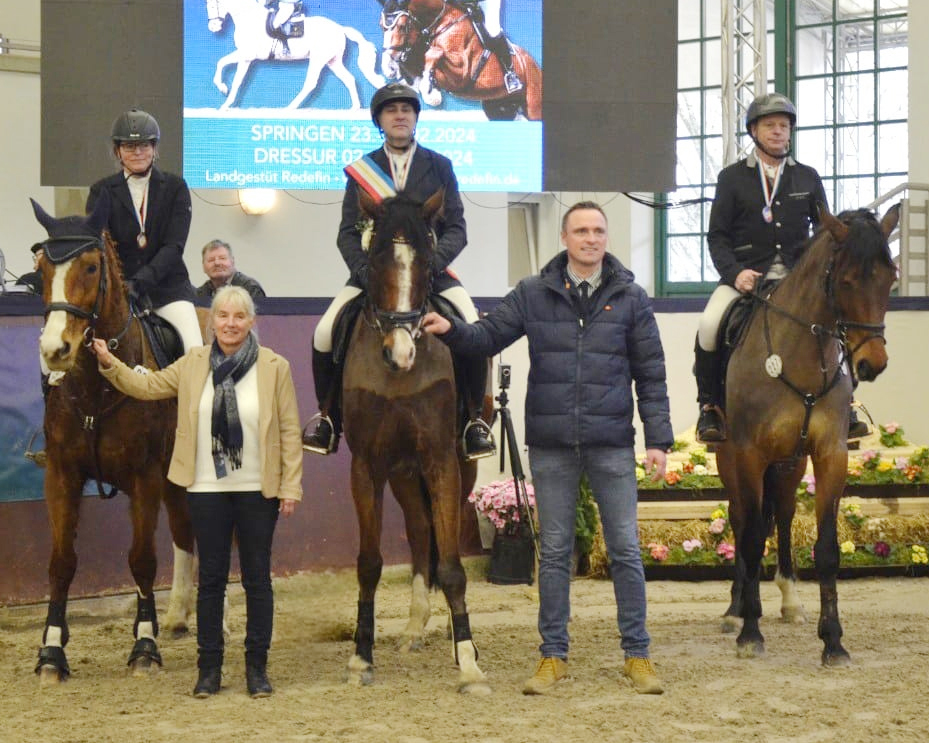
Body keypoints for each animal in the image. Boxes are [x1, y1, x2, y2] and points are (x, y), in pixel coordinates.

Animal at [29, 196, 196, 684]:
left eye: (89, 267)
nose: (55, 350)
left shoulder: (144, 478)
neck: (94, 386)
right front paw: (51, 651)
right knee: (184, 532)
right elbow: (61, 562)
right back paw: (175, 617)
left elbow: (141, 559)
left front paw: (144, 646)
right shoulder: (62, 475)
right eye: (42, 268)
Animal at [206, 0, 384, 110]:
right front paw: (225, 99)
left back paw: (290, 107)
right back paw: (355, 107)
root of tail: (339, 28)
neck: (249, 18)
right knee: (349, 79)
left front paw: (223, 93)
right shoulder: (245, 56)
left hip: (318, 60)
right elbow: (228, 70)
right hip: (333, 61)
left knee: (310, 83)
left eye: (213, 5)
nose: (213, 27)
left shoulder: (246, 55)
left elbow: (227, 70)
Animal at [338, 189, 486, 696]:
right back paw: (414, 627)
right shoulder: (367, 466)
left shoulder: (442, 461)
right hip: (404, 473)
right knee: (421, 532)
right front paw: (361, 658)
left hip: (460, 469)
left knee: (438, 534)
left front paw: (469, 663)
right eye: (376, 258)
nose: (399, 354)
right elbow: (369, 563)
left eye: (425, 260)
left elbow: (454, 567)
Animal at [378, 0, 540, 120]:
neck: (443, 22)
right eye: (381, 26)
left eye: (402, 26)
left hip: (533, 107)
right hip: (499, 108)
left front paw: (431, 93)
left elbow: (433, 53)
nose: (388, 66)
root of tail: (535, 65)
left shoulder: (461, 75)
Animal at [716, 205, 900, 668]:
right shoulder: (748, 454)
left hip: (790, 462)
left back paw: (789, 601)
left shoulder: (830, 453)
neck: (797, 353)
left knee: (779, 517)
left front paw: (833, 640)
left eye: (890, 279)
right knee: (742, 520)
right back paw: (735, 609)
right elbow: (749, 538)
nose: (872, 364)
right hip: (732, 460)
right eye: (847, 280)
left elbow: (827, 549)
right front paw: (749, 633)